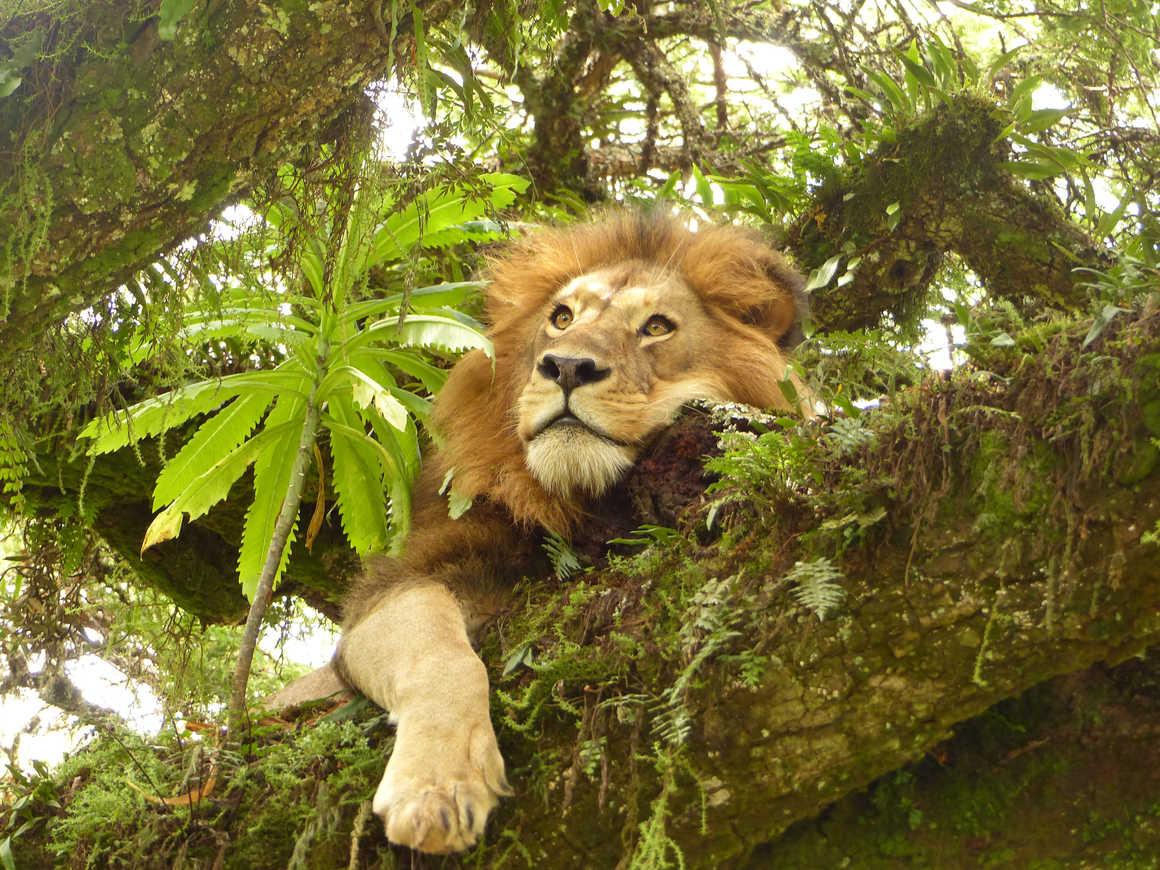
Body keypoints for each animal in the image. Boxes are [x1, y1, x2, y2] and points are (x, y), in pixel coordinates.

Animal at [281, 214, 807, 853]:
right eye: (562, 318)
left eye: (656, 327)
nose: (567, 367)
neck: (584, 502)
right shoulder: (401, 582)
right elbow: (443, 657)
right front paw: (436, 788)